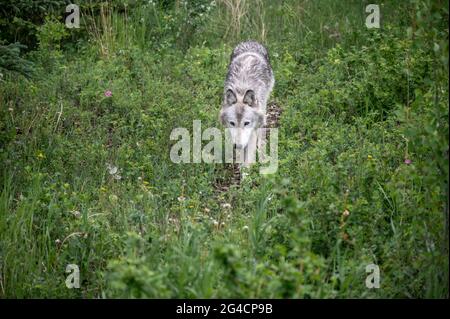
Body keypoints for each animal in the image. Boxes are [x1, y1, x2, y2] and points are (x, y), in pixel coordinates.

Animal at [218, 40, 274, 168]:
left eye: (246, 123)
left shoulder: (252, 130)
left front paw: (247, 171)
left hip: (264, 105)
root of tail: (251, 41)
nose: (237, 146)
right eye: (232, 123)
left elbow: (249, 154)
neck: (241, 91)